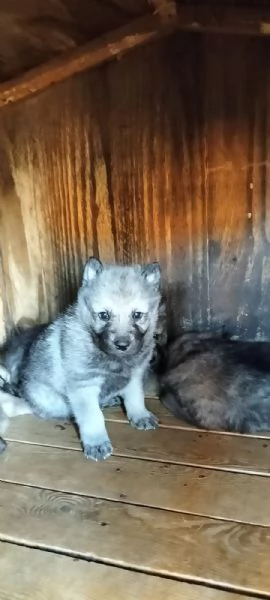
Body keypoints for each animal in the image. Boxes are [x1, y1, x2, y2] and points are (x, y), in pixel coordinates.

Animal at [0, 256, 160, 460]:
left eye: (137, 315)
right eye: (104, 315)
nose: (122, 345)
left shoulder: (135, 377)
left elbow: (136, 398)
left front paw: (140, 415)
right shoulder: (84, 386)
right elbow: (92, 416)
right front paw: (97, 443)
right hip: (54, 401)